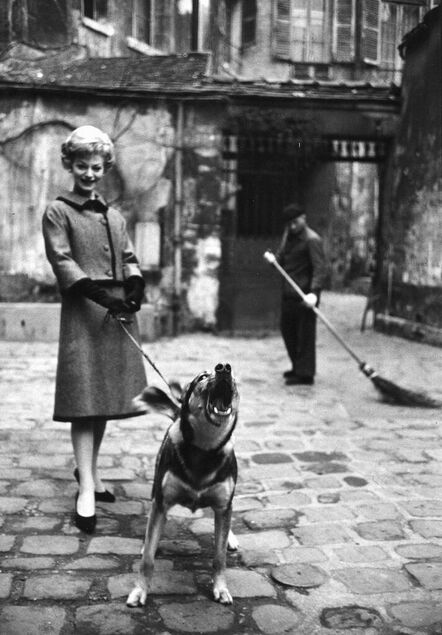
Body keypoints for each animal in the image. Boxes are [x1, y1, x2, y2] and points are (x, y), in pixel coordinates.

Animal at [126, 362, 240, 608]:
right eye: (202, 377)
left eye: (234, 375)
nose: (224, 368)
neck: (206, 448)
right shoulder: (161, 504)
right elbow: (147, 560)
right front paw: (140, 591)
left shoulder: (223, 504)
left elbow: (219, 558)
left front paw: (221, 588)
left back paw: (231, 537)